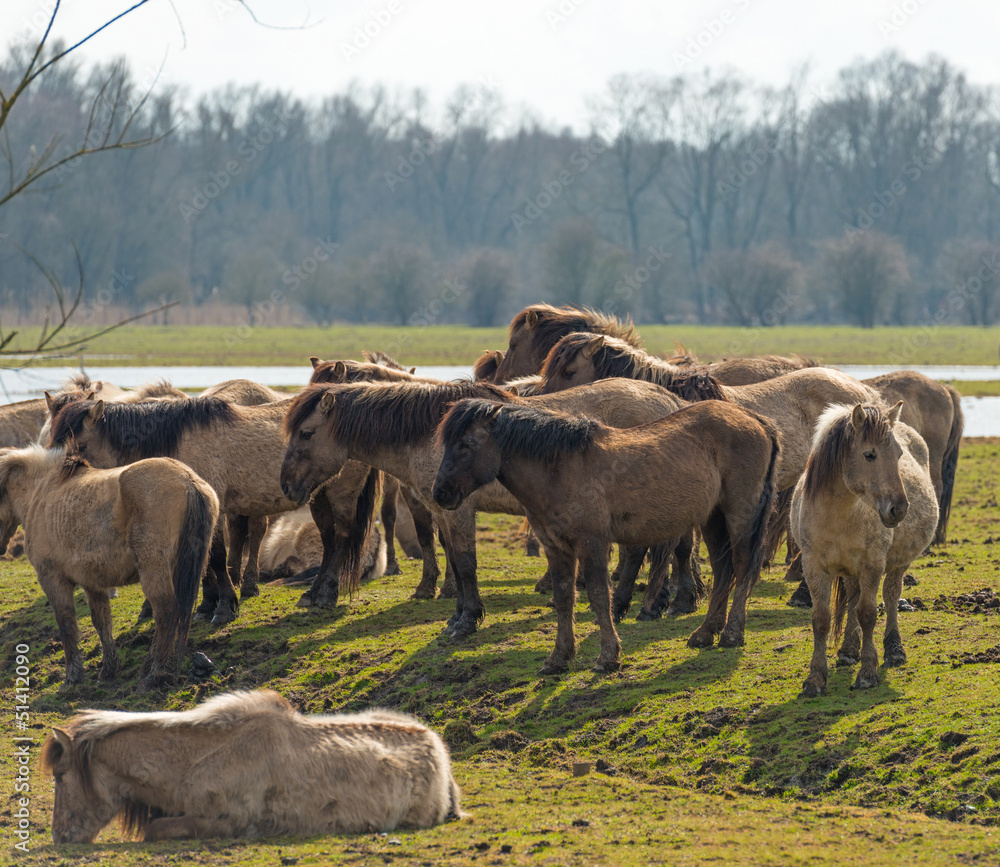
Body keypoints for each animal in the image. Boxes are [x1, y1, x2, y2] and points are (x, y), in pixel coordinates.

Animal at [0, 446, 218, 685]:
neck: (42, 492)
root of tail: (188, 480)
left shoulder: (52, 579)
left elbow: (67, 625)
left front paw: (73, 677)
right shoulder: (91, 582)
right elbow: (102, 622)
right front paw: (109, 668)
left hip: (154, 570)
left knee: (166, 612)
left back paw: (156, 672)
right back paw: (151, 666)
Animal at [42, 689, 461, 843]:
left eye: (60, 777)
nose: (60, 836)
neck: (196, 761)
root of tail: (435, 744)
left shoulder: (226, 820)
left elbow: (155, 830)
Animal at [433, 399, 779, 672]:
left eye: (466, 444)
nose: (440, 494)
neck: (559, 469)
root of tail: (756, 421)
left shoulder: (592, 544)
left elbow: (600, 596)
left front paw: (607, 657)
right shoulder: (556, 548)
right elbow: (564, 598)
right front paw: (558, 658)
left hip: (740, 515)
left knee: (742, 567)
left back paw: (732, 633)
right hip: (713, 518)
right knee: (723, 571)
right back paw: (705, 633)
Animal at [792, 403, 938, 697]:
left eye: (899, 455)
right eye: (869, 455)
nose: (899, 509)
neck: (837, 516)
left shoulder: (872, 565)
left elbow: (868, 614)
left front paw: (868, 673)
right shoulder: (813, 567)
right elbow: (821, 620)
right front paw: (815, 679)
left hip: (896, 565)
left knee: (891, 597)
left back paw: (894, 650)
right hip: (849, 570)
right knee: (852, 597)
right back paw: (849, 649)